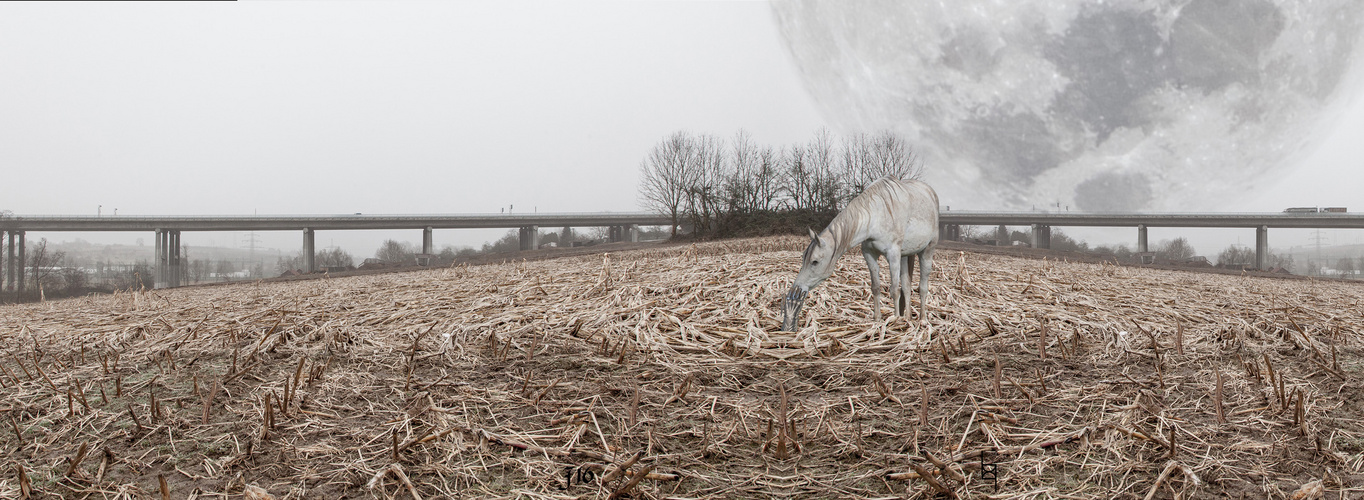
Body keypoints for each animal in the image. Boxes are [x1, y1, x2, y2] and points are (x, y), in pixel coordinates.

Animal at [780, 177, 938, 332]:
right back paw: (908, 318)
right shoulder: (869, 254)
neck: (877, 216)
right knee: (906, 286)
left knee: (922, 287)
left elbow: (894, 290)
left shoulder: (893, 255)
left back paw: (923, 320)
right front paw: (877, 320)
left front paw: (895, 321)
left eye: (815, 262)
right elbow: (876, 287)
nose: (796, 289)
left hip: (927, 251)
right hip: (905, 255)